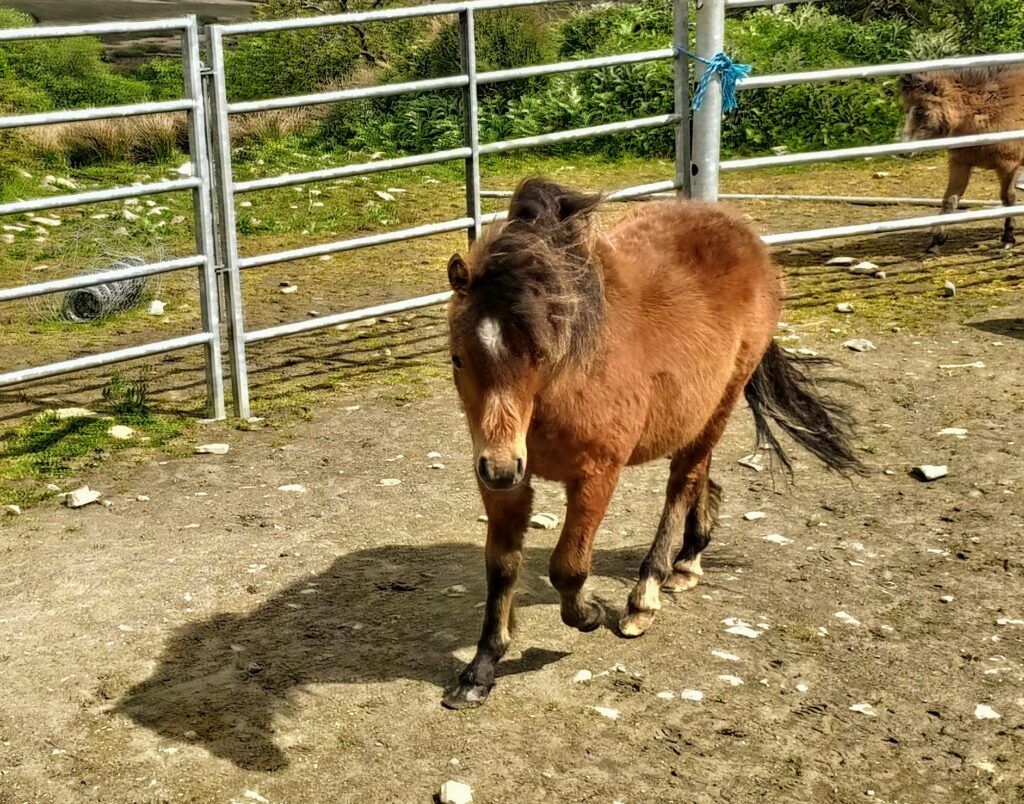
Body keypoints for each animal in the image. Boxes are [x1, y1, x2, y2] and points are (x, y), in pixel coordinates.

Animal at [440, 177, 864, 708]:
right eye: (458, 358)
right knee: (701, 477)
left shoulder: (596, 473)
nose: (499, 466)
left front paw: (591, 614)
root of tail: (744, 235)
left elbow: (568, 568)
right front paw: (480, 669)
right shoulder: (507, 483)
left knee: (682, 484)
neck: (565, 382)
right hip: (696, 412)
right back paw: (689, 558)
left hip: (723, 401)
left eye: (540, 355)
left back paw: (647, 593)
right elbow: (500, 568)